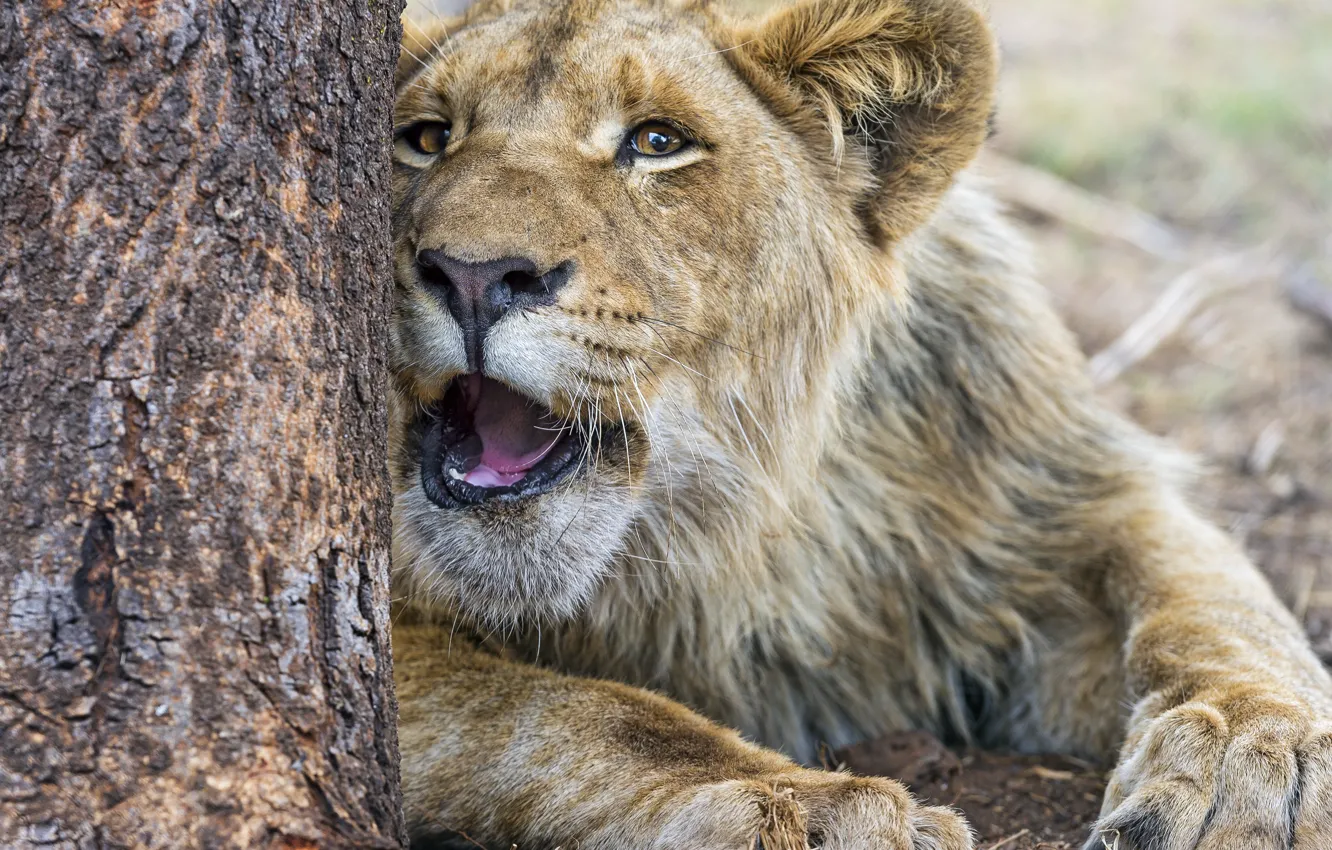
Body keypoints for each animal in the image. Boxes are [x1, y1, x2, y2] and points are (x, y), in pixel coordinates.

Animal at [387, 0, 1332, 846]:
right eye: (424, 138)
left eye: (656, 143)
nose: (472, 275)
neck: (738, 529)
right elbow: (568, 712)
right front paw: (803, 809)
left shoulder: (1067, 495)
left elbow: (1214, 607)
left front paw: (1255, 756)